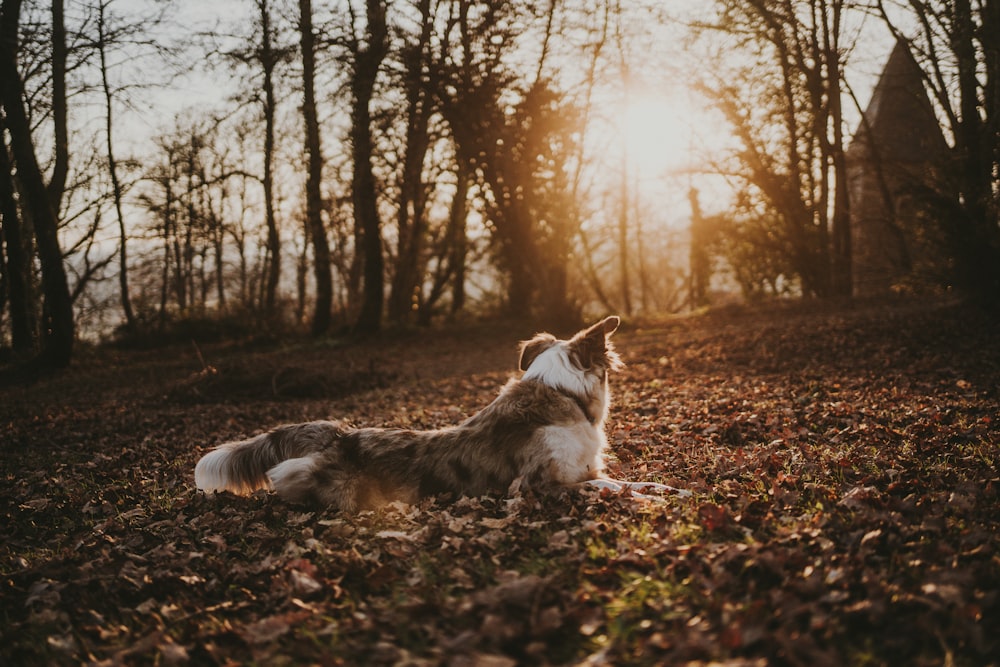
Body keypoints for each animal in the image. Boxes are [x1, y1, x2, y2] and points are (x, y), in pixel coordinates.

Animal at [193, 318, 688, 512]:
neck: (561, 392)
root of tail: (341, 434)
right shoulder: (537, 485)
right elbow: (600, 491)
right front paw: (647, 503)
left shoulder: (586, 470)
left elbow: (623, 482)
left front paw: (669, 490)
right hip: (331, 482)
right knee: (286, 476)